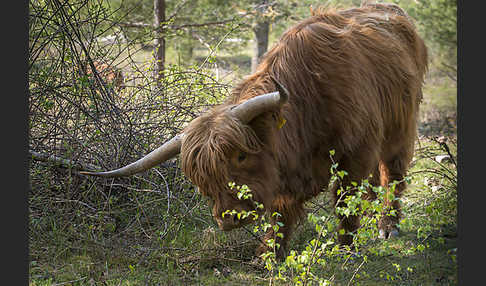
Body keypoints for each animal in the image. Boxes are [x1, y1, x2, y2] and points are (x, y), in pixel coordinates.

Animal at [81, 2, 428, 256]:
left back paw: (387, 226)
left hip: (401, 129)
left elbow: (344, 202)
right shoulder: (283, 174)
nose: (230, 218)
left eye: (240, 157)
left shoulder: (355, 153)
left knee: (392, 174)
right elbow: (280, 212)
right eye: (199, 179)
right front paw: (270, 254)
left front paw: (345, 249)